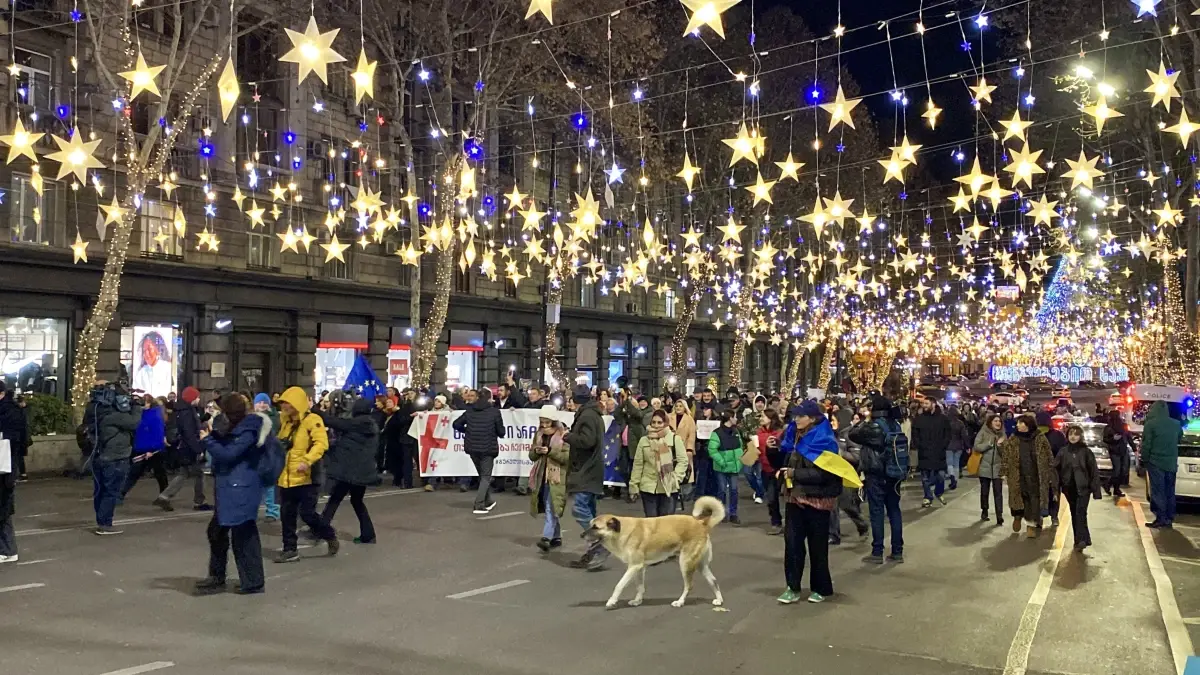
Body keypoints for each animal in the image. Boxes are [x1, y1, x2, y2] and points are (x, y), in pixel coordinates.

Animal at [585, 492, 724, 607]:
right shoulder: (639, 568)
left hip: (685, 563)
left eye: (595, 527)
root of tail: (701, 523)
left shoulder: (634, 566)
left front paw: (612, 601)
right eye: (590, 525)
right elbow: (640, 587)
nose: (581, 535)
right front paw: (637, 601)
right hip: (700, 564)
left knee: (689, 586)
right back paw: (719, 600)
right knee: (714, 581)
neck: (621, 530)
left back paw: (680, 602)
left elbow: (619, 585)